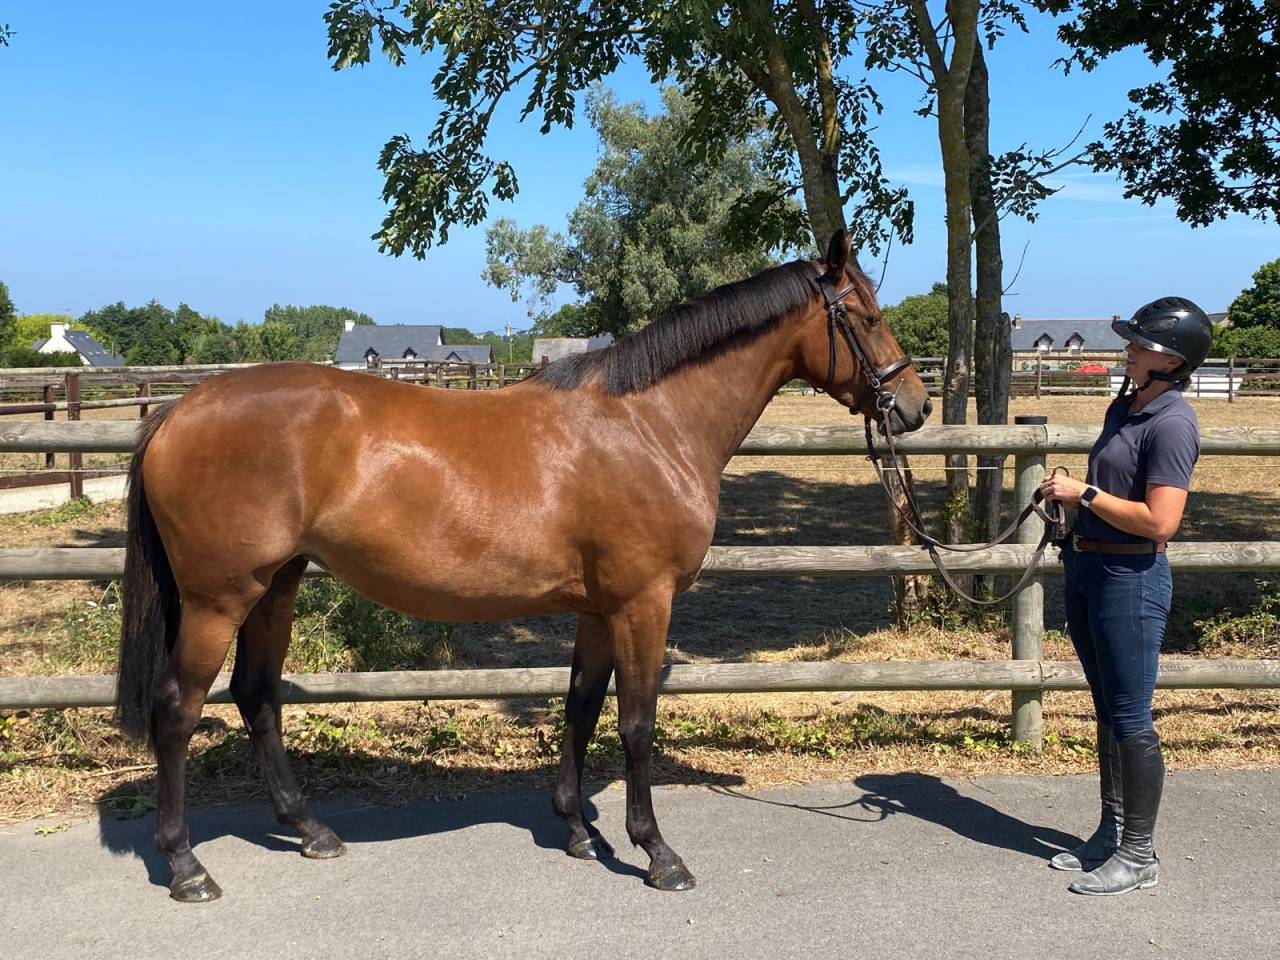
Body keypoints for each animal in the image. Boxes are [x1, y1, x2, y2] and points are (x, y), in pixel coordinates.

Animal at [114, 231, 931, 902]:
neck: (651, 423)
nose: (915, 406)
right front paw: (656, 853)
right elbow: (637, 722)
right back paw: (186, 866)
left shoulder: (599, 608)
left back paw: (311, 831)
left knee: (257, 696)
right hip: (219, 599)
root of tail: (179, 411)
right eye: (864, 316)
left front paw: (575, 831)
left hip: (274, 590)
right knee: (178, 709)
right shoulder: (644, 602)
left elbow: (580, 707)